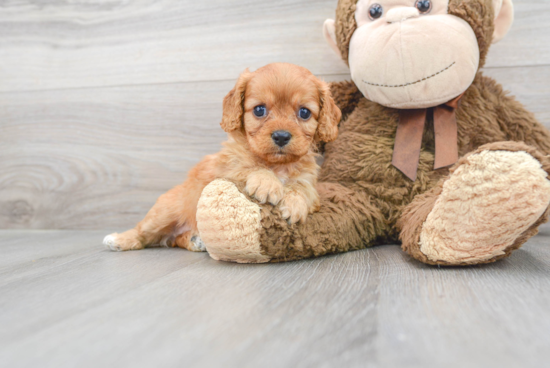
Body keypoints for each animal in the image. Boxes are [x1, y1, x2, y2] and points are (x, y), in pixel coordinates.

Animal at [104, 64, 340, 253]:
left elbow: (302, 188)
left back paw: (195, 240)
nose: (281, 136)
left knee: (175, 240)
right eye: (259, 110)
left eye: (304, 113)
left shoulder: (309, 183)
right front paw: (266, 183)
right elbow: (247, 167)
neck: (275, 164)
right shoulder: (225, 170)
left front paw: (294, 204)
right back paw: (118, 240)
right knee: (143, 233)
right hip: (163, 213)